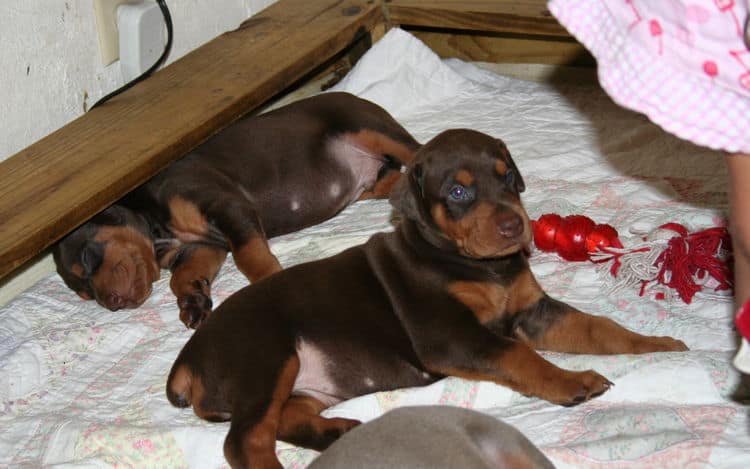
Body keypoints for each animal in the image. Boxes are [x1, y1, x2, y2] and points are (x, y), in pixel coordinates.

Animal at [52, 90, 420, 326]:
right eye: (84, 294)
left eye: (87, 258)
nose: (112, 304)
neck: (158, 227)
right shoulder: (203, 247)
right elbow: (182, 277)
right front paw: (193, 300)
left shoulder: (229, 207)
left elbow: (250, 258)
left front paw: (271, 285)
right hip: (374, 184)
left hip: (367, 127)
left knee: (419, 150)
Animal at [167, 128, 692, 468]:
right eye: (458, 191)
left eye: (507, 176)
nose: (514, 225)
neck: (477, 265)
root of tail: (188, 358)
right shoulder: (451, 335)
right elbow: (519, 356)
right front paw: (572, 381)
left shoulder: (533, 311)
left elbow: (599, 328)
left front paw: (659, 345)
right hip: (265, 356)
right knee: (245, 441)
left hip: (306, 380)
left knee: (285, 418)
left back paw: (339, 431)